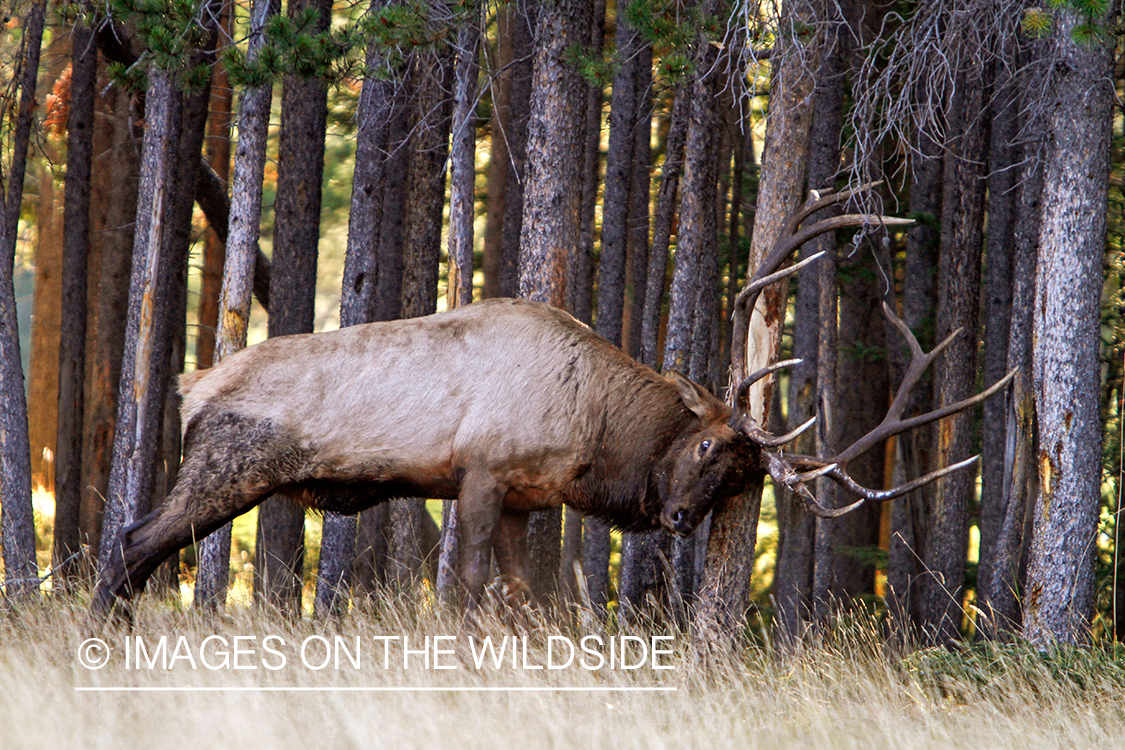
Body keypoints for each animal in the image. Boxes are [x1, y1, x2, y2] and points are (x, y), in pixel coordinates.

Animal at [92, 186, 1017, 616]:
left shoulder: (524, 501)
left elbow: (525, 602)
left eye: (742, 480)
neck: (589, 438)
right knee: (134, 541)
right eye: (708, 445)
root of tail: (189, 386)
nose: (679, 519)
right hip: (231, 463)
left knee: (137, 546)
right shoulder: (480, 471)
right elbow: (464, 590)